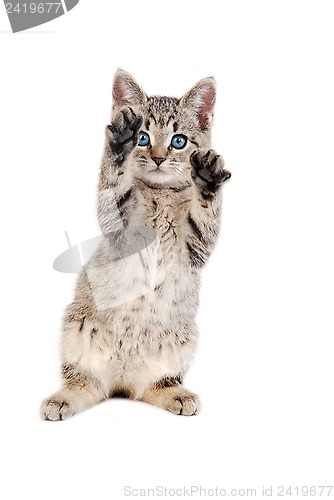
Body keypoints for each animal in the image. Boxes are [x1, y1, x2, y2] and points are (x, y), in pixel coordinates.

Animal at [40, 68, 231, 420]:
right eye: (142, 138)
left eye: (178, 141)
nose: (157, 158)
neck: (161, 194)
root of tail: (122, 382)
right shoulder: (117, 228)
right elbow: (114, 181)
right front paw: (118, 142)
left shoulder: (197, 248)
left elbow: (206, 216)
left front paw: (208, 180)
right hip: (76, 331)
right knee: (83, 383)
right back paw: (63, 399)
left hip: (181, 341)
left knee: (153, 386)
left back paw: (174, 393)